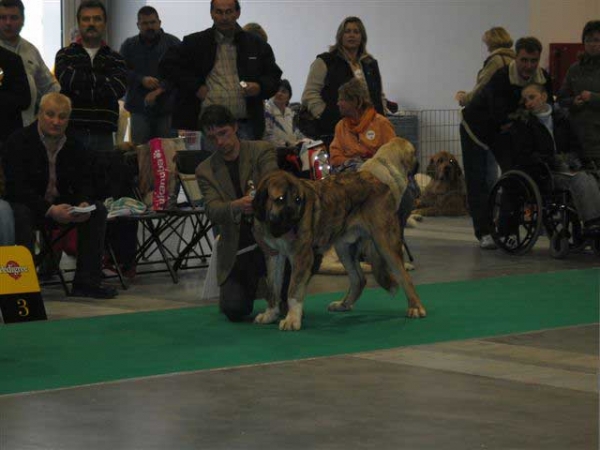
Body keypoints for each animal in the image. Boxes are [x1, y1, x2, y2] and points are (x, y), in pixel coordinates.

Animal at [252, 139, 426, 332]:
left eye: (298, 200)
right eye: (280, 199)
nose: (295, 217)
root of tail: (377, 180)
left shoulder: (301, 256)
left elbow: (293, 289)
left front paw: (291, 319)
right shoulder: (273, 256)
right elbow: (273, 288)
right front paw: (270, 314)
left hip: (385, 241)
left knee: (403, 276)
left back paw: (415, 307)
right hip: (344, 247)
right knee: (359, 279)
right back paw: (343, 304)